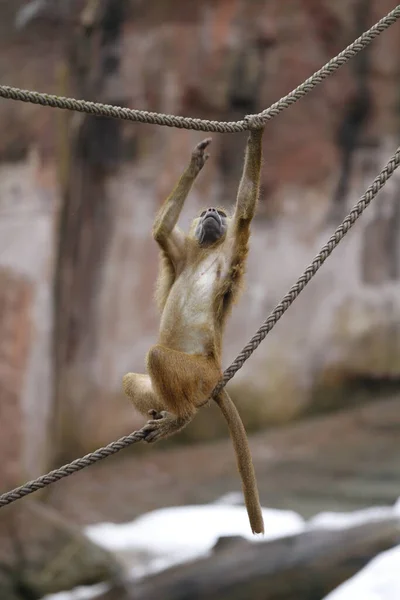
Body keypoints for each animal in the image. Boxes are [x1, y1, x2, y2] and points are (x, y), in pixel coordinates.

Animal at [123, 127, 264, 536]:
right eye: (205, 213)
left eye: (219, 212)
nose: (212, 213)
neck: (207, 250)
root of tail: (214, 367)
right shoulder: (181, 252)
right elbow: (162, 231)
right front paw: (196, 161)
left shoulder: (233, 247)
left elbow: (246, 205)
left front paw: (256, 131)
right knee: (134, 379)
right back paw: (165, 414)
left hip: (196, 372)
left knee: (157, 357)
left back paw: (179, 419)